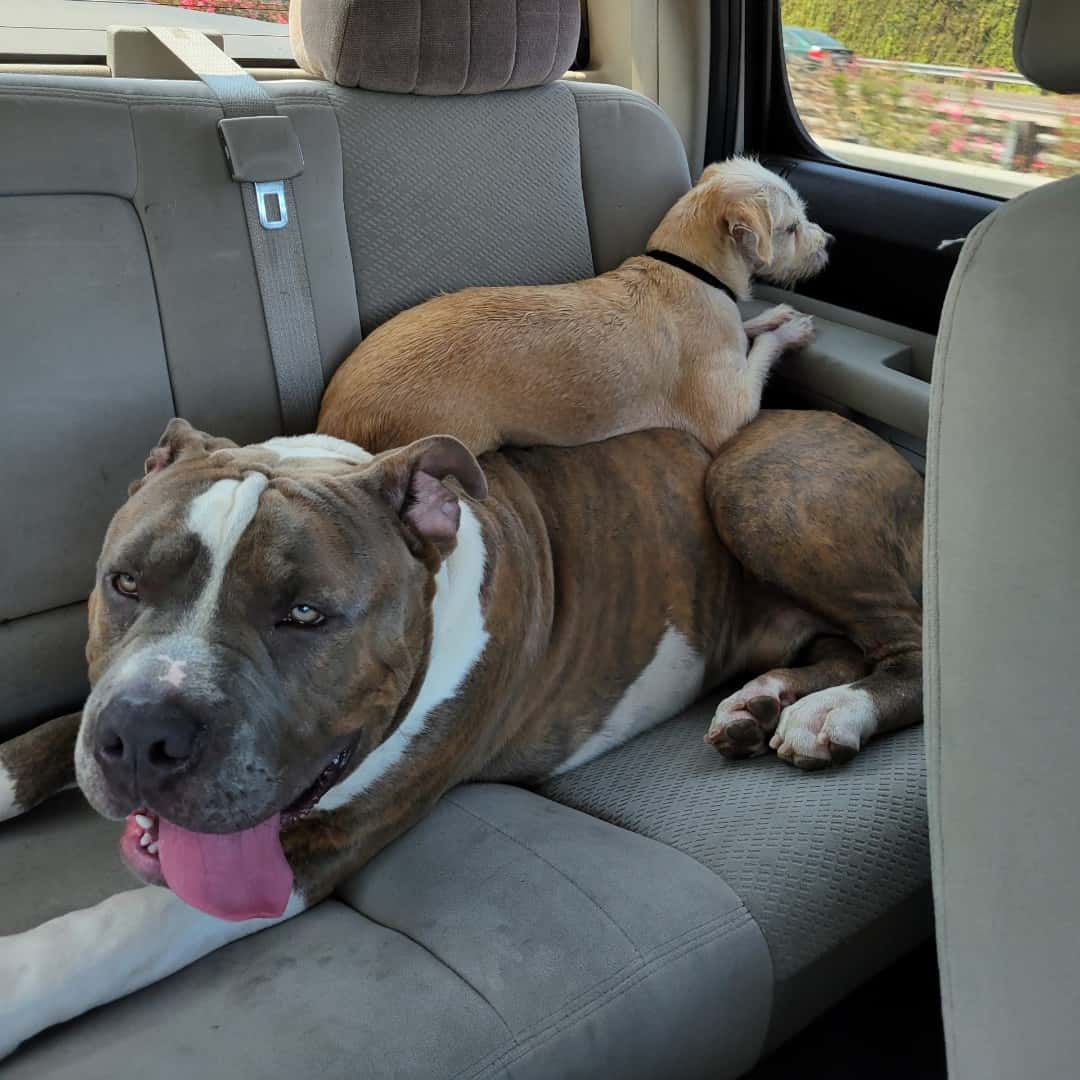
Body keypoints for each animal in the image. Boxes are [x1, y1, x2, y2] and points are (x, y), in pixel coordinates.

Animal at [4, 410, 924, 1054]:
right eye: (123, 582)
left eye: (305, 614)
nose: (143, 737)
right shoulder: (103, 701)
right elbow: (51, 734)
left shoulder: (317, 848)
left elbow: (103, 933)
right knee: (843, 644)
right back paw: (761, 703)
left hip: (756, 477)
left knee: (909, 642)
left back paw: (834, 713)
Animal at [315, 157, 829, 455]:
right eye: (791, 229)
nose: (830, 243)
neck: (688, 269)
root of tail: (330, 421)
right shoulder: (731, 409)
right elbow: (761, 352)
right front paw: (790, 330)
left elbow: (748, 330)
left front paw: (774, 316)